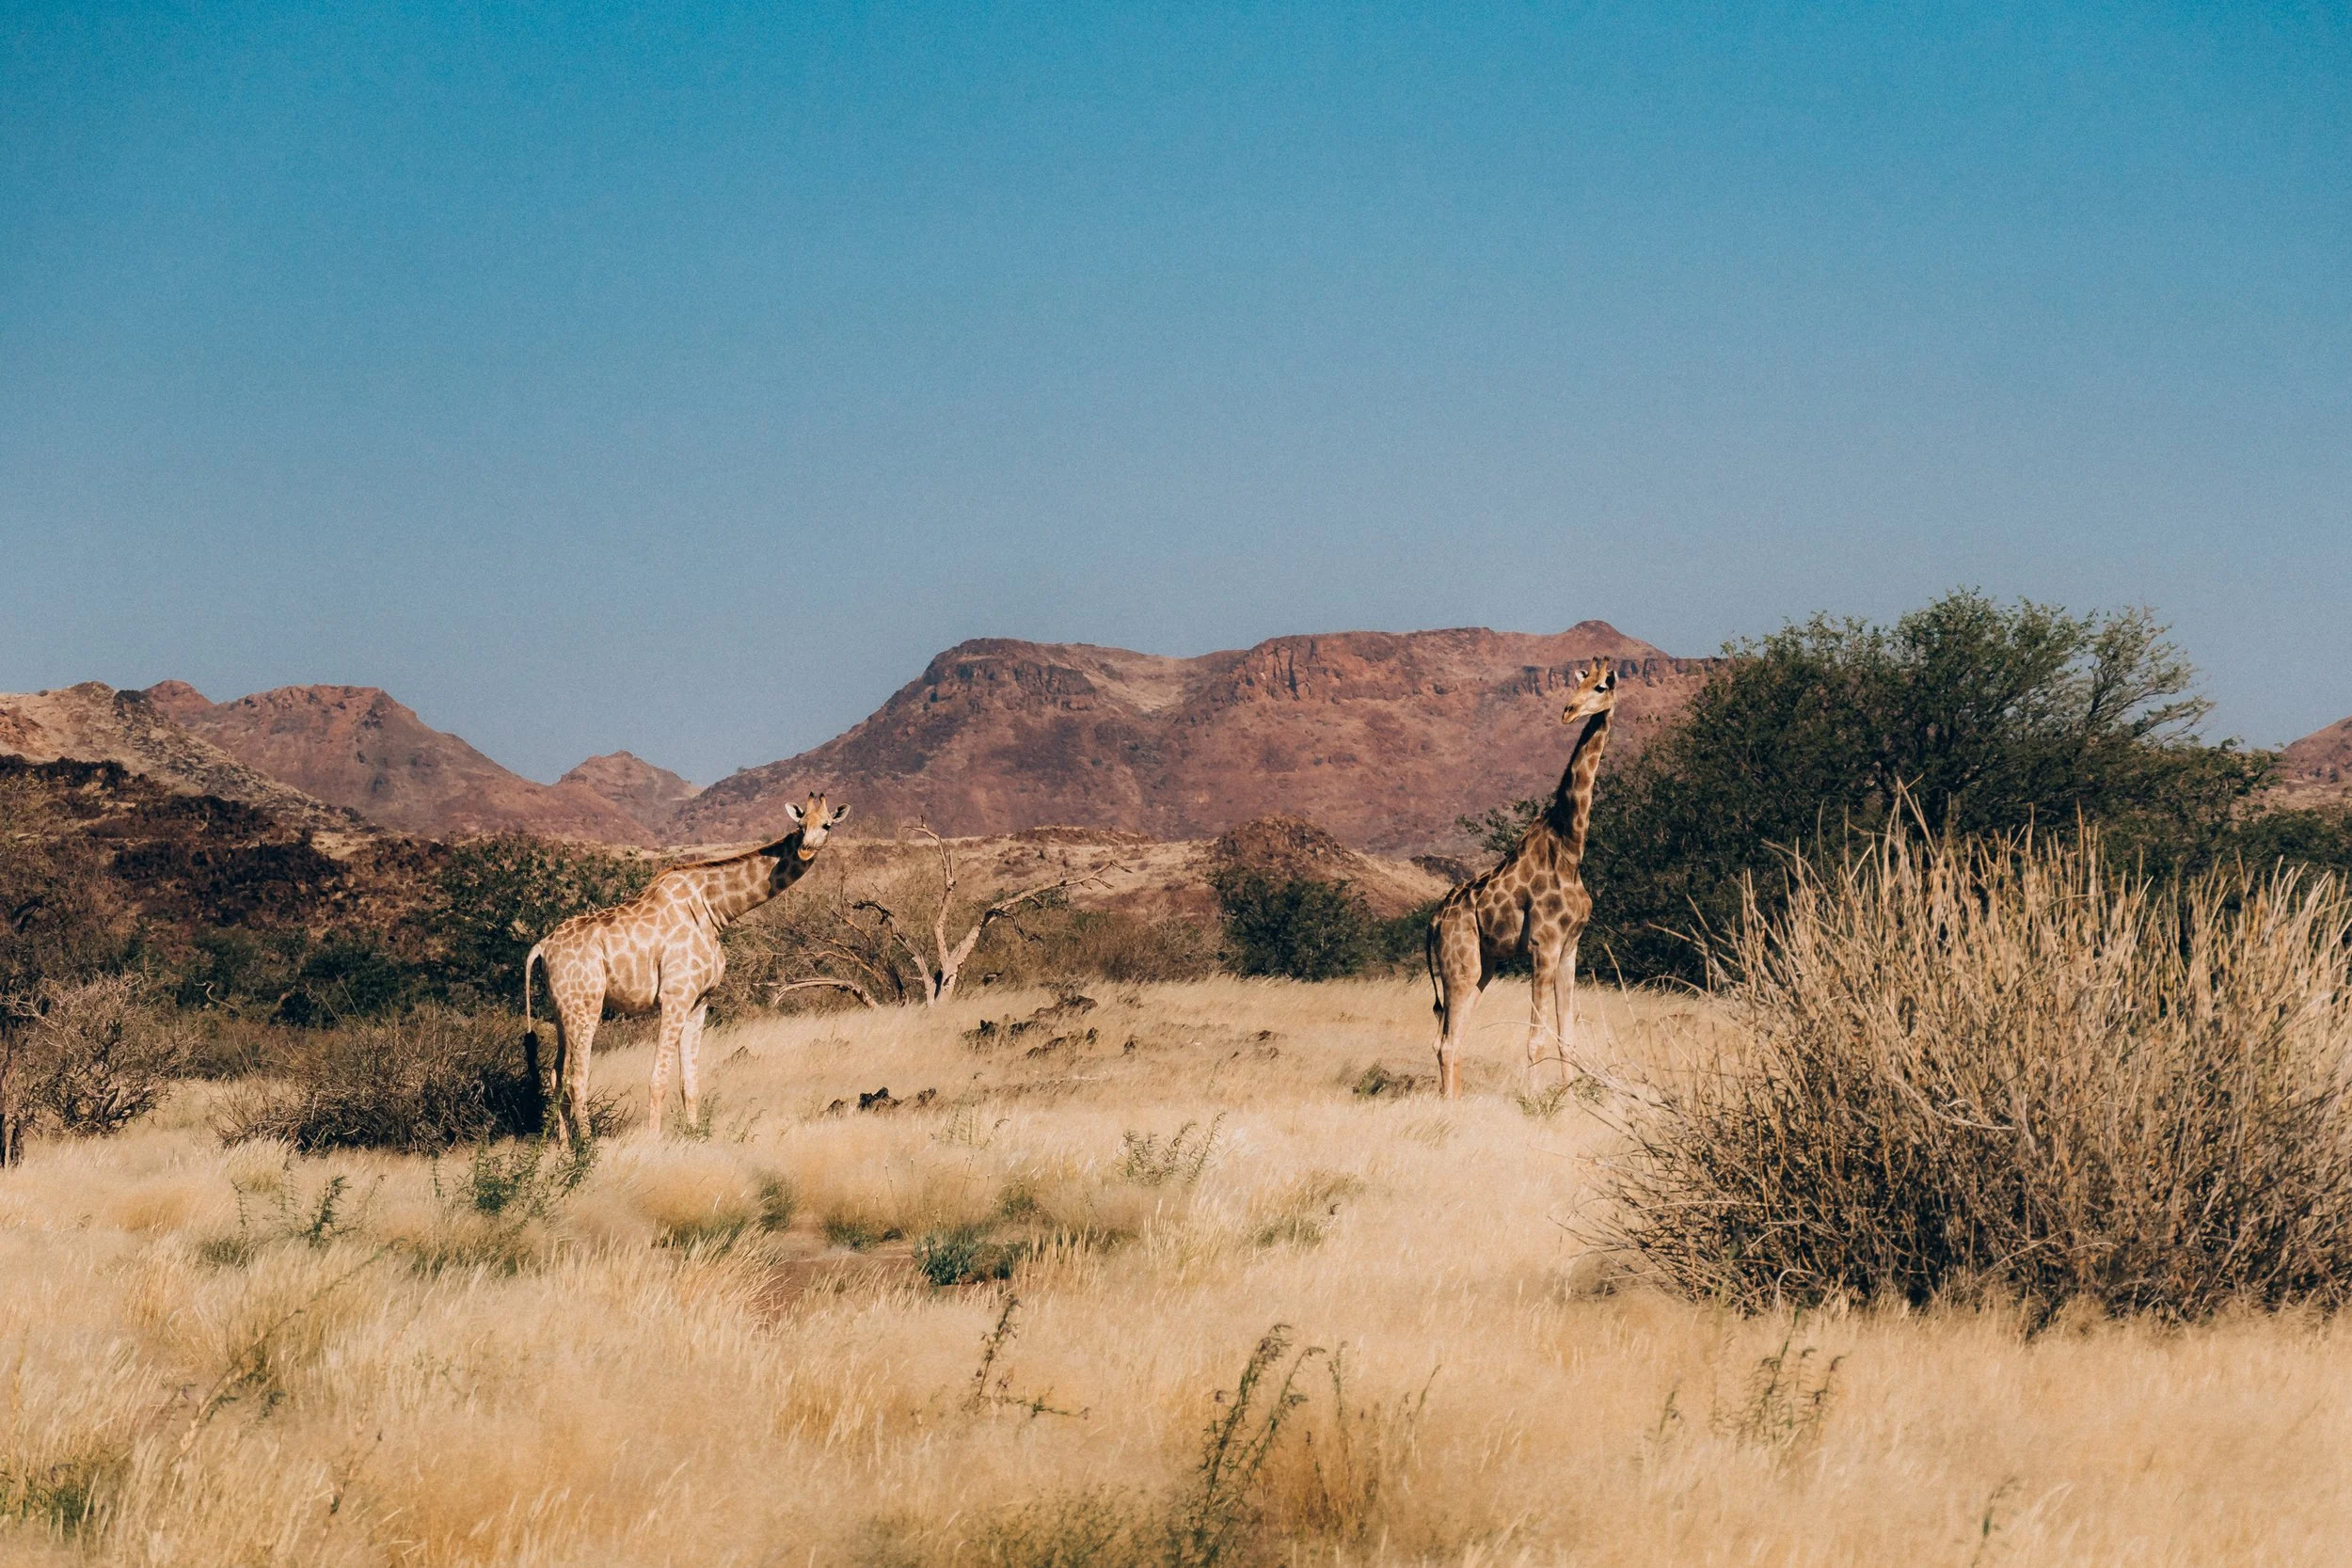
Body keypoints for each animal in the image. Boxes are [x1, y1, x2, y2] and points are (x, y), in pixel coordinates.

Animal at [524, 793, 849, 1140]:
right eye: (800, 825)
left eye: (827, 824)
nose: (806, 848)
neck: (714, 910)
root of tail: (542, 947)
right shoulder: (675, 996)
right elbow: (658, 1078)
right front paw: (653, 1140)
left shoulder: (699, 1001)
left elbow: (689, 1080)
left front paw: (695, 1134)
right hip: (586, 1006)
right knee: (576, 1078)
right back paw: (587, 1145)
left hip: (563, 1010)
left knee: (557, 1075)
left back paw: (563, 1145)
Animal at [1425, 660, 1620, 1100]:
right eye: (1579, 683)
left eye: (1601, 686)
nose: (1568, 711)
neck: (1570, 848)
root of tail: (1434, 921)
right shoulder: (1542, 945)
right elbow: (1536, 1039)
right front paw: (1532, 1098)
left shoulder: (1570, 948)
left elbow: (1567, 1035)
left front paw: (1569, 1096)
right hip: (1460, 964)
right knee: (1445, 1041)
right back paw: (1448, 1105)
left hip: (1484, 967)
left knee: (1452, 1038)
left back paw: (1455, 1100)